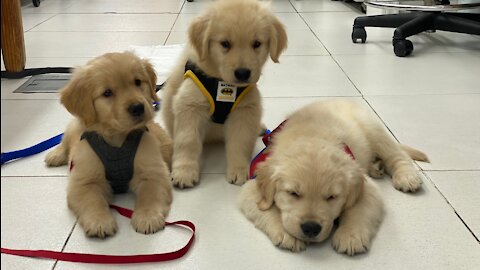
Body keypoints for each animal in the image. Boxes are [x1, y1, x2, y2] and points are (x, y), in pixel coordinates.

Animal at [44, 51, 172, 237]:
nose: (138, 107)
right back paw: (55, 155)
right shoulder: (84, 179)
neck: (117, 140)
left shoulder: (153, 171)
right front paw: (99, 221)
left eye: (137, 82)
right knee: (64, 141)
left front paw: (148, 217)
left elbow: (150, 194)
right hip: (73, 127)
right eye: (107, 93)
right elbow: (93, 200)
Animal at [161, 0, 288, 188]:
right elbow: (187, 141)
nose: (242, 73)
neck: (223, 83)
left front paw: (239, 170)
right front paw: (184, 172)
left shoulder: (245, 109)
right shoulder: (190, 105)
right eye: (225, 43)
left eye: (256, 43)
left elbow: (240, 142)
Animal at [238, 99, 430, 255]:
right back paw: (376, 166)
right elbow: (266, 209)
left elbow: (360, 208)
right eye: (293, 193)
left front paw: (350, 236)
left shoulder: (365, 186)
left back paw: (407, 177)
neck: (310, 135)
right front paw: (286, 234)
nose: (311, 228)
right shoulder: (252, 183)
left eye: (332, 197)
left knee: (397, 155)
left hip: (374, 129)